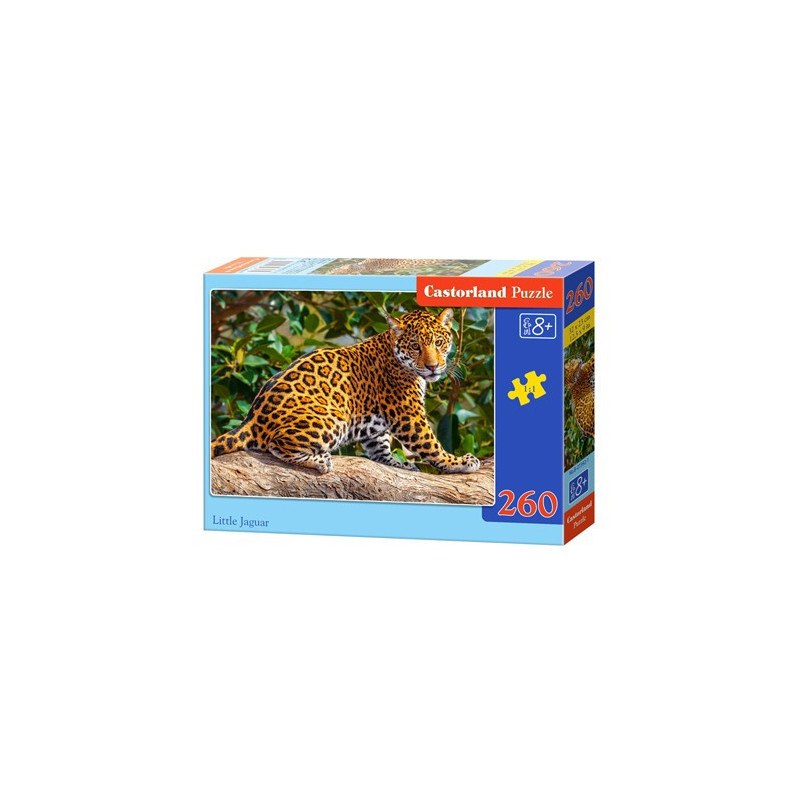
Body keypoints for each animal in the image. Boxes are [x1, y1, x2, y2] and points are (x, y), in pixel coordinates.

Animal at [211, 308, 481, 475]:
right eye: (415, 346)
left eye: (438, 343)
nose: (433, 366)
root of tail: (251, 419)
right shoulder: (409, 416)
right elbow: (431, 446)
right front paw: (459, 462)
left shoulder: (377, 427)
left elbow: (379, 449)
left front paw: (399, 464)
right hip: (332, 417)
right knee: (277, 444)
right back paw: (320, 461)